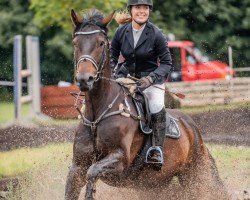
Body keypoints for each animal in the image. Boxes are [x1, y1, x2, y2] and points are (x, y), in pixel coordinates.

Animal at [65, 9, 229, 200]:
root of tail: (192, 126)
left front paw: (91, 192)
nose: (85, 80)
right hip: (155, 184)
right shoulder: (77, 167)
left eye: (101, 43)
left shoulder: (120, 160)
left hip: (195, 174)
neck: (97, 115)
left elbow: (92, 171)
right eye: (75, 43)